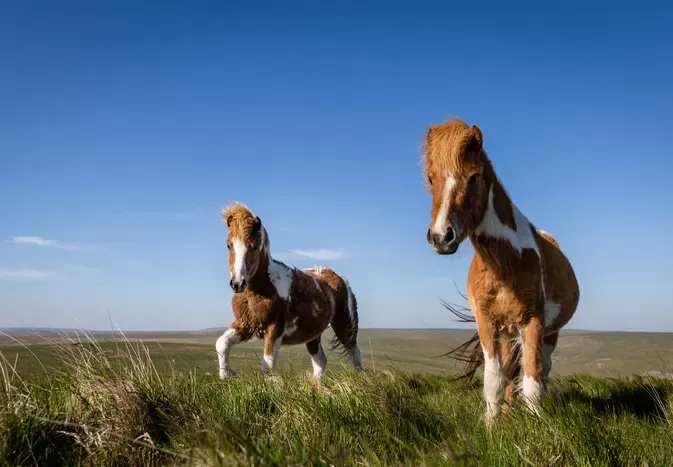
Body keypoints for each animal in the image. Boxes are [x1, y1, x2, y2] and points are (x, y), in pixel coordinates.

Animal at [215, 203, 362, 378]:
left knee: (354, 354)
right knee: (321, 362)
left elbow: (267, 365)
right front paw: (226, 375)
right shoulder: (245, 324)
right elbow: (221, 343)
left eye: (254, 246)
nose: (237, 283)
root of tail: (340, 279)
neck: (260, 290)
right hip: (312, 334)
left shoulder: (274, 329)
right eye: (229, 245)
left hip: (344, 324)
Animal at [422, 118, 580, 428]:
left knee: (539, 372)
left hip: (547, 335)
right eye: (431, 178)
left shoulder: (533, 323)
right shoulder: (487, 323)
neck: (507, 262)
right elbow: (494, 379)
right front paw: (492, 428)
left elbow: (532, 383)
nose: (441, 237)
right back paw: (507, 414)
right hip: (508, 335)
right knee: (509, 373)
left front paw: (535, 430)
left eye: (473, 177)